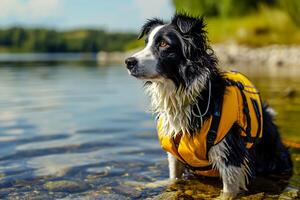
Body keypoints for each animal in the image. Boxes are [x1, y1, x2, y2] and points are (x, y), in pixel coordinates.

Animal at [125, 13, 292, 198]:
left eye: (163, 44)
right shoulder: (174, 156)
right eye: (146, 42)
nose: (128, 61)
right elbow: (173, 178)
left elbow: (228, 190)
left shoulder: (230, 153)